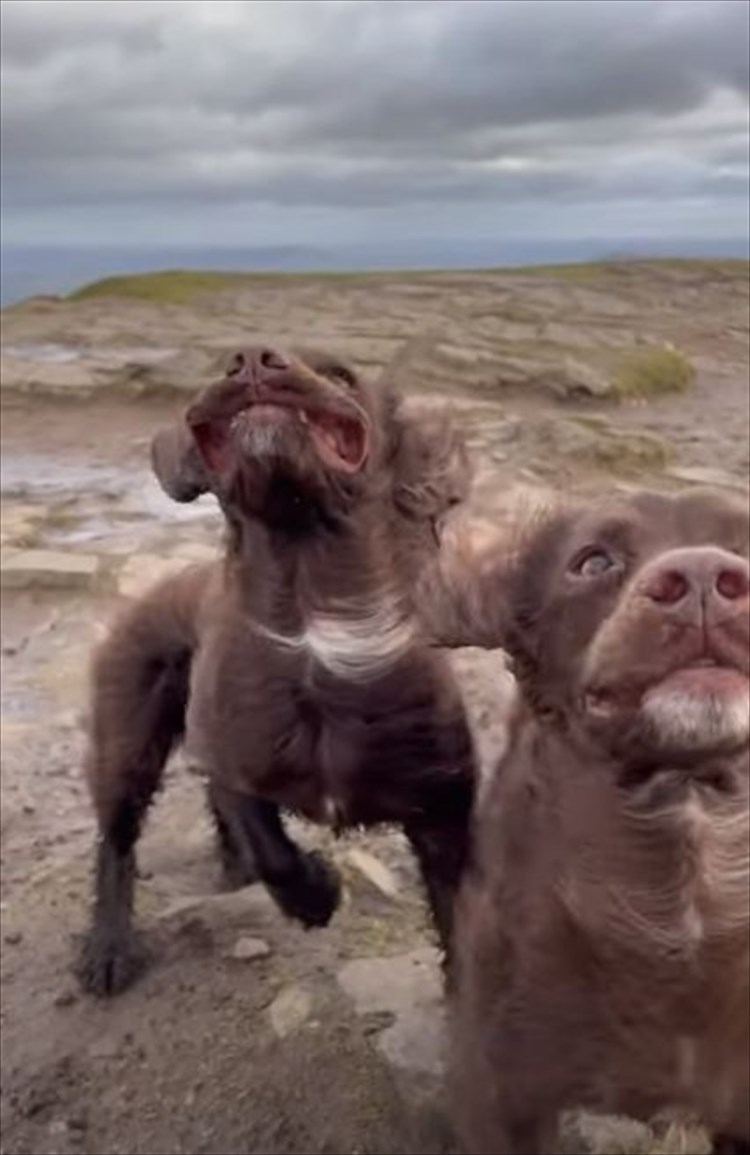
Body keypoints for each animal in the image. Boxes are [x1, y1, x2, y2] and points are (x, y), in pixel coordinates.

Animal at [74, 346, 473, 997]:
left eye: (340, 375)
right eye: (226, 367)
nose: (250, 361)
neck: (314, 622)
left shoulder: (443, 803)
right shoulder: (234, 752)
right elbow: (268, 842)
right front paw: (316, 892)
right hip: (127, 738)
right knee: (117, 838)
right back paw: (108, 950)